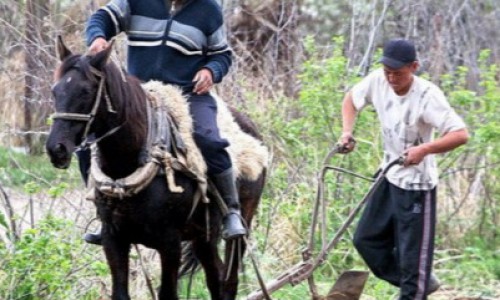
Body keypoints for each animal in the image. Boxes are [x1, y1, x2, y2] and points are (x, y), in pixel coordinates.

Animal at [45, 37, 268, 300]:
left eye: (86, 91)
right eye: (55, 90)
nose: (56, 149)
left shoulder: (169, 243)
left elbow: (168, 293)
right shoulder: (113, 238)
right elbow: (120, 293)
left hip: (241, 228)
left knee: (229, 280)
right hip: (204, 238)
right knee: (216, 277)